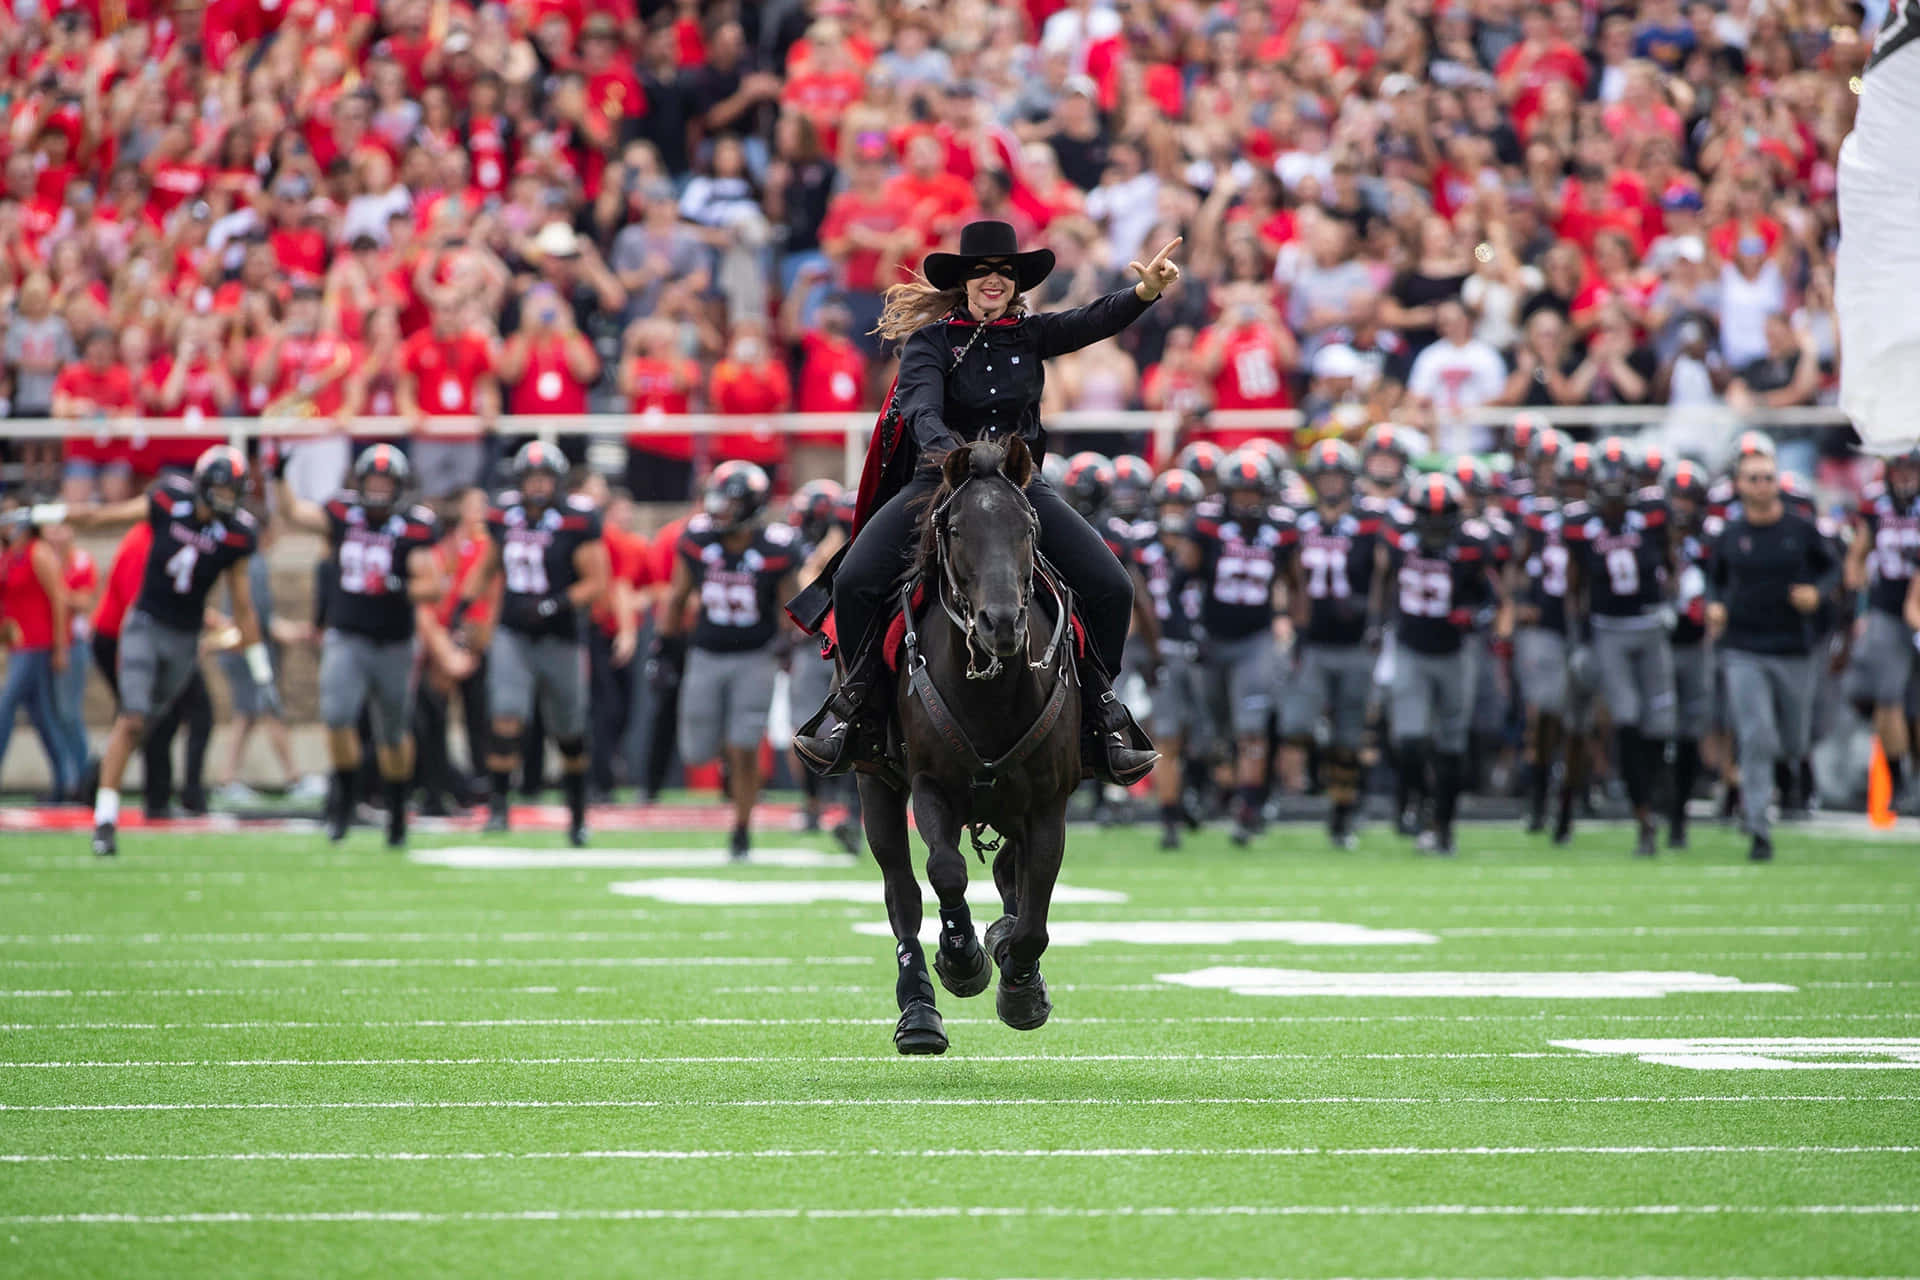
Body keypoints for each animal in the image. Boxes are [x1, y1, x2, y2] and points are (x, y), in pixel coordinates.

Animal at [856, 435, 1082, 1059]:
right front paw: (962, 959)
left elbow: (1034, 912)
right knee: (902, 892)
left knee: (1009, 873)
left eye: (1027, 527)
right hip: (874, 785)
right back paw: (919, 1013)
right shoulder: (931, 786)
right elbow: (946, 871)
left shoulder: (1048, 803)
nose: (999, 623)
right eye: (956, 530)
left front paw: (1020, 985)